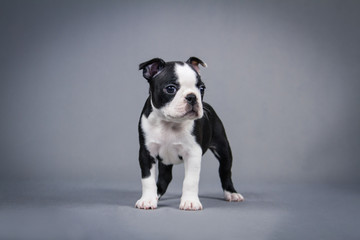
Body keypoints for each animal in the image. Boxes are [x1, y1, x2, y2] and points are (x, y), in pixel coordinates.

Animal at [136, 56, 245, 210]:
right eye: (170, 88)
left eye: (202, 88)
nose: (193, 96)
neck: (168, 123)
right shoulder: (146, 153)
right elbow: (147, 179)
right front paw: (147, 199)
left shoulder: (193, 153)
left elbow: (190, 180)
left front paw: (190, 202)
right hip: (165, 159)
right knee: (165, 177)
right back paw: (157, 195)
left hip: (223, 149)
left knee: (225, 171)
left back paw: (232, 193)